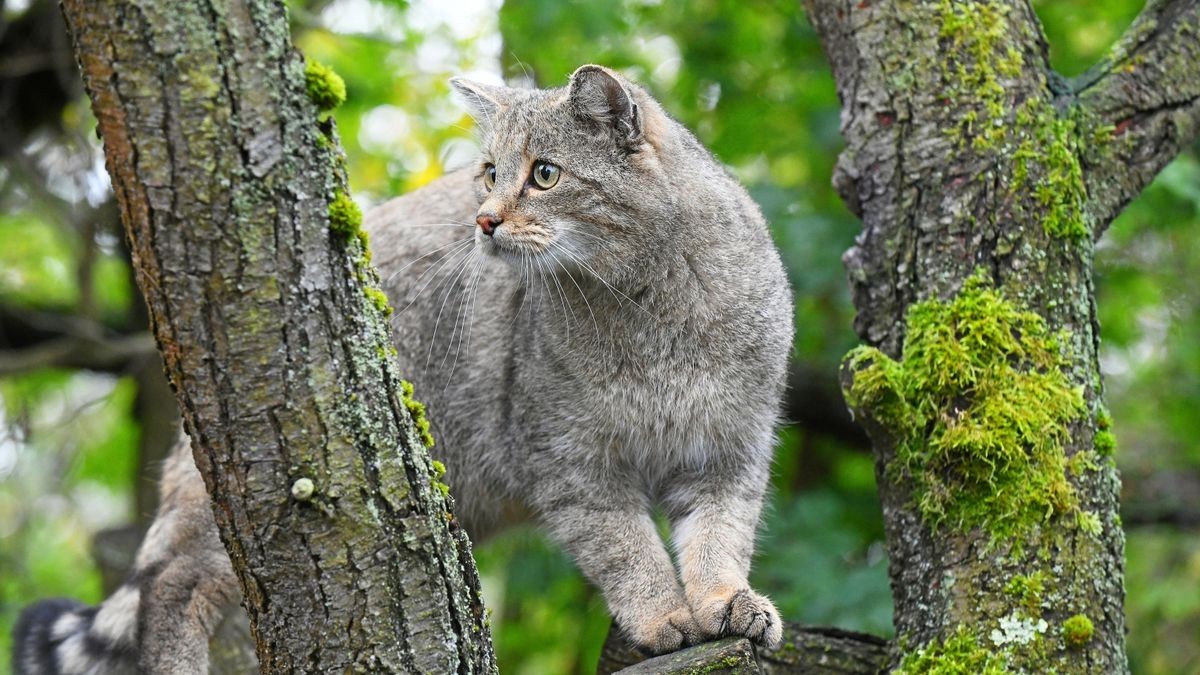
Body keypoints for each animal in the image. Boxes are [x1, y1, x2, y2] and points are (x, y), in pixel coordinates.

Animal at [16, 61, 796, 667]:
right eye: (490, 172)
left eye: (545, 174)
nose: (484, 219)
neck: (650, 306)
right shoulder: (571, 464)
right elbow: (628, 551)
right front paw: (663, 616)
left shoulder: (728, 453)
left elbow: (719, 538)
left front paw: (725, 601)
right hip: (229, 512)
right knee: (171, 587)